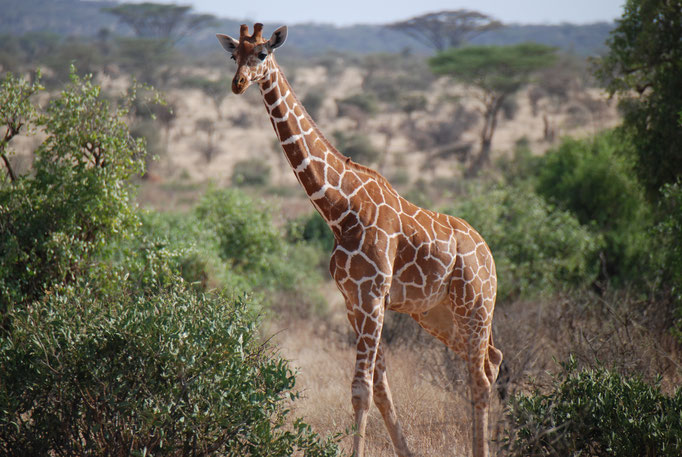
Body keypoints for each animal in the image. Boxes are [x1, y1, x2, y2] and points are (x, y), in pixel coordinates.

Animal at [215, 25, 502, 456]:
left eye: (262, 54)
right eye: (235, 55)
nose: (238, 84)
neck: (338, 209)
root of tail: (488, 253)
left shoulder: (371, 296)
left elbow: (361, 389)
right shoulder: (353, 300)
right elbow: (379, 390)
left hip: (475, 304)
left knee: (480, 378)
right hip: (437, 313)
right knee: (490, 361)